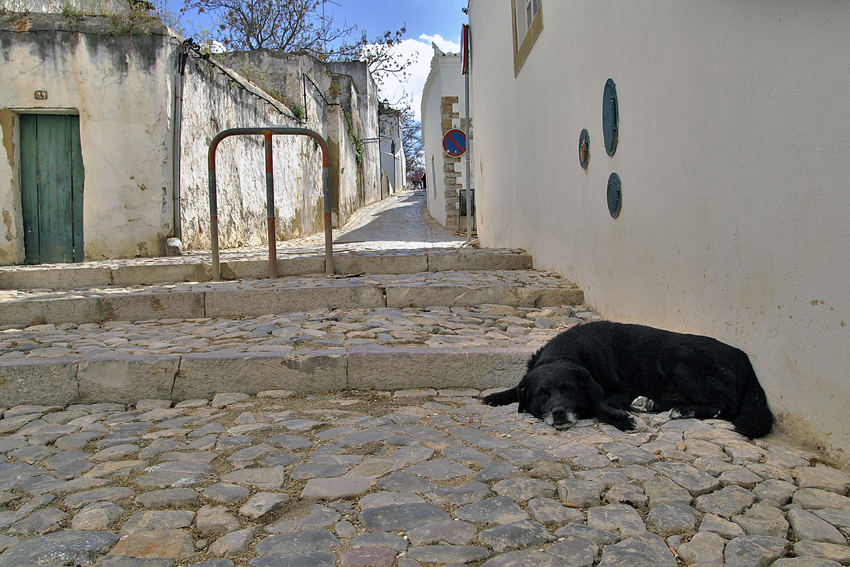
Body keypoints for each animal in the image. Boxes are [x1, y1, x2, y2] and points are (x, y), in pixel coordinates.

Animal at [480, 322, 772, 438]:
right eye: (543, 394)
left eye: (568, 390)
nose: (559, 413)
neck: (564, 353)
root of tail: (744, 358)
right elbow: (516, 387)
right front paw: (495, 396)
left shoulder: (622, 389)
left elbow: (598, 404)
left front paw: (621, 419)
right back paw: (651, 403)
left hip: (679, 359)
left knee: (728, 405)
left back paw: (683, 410)